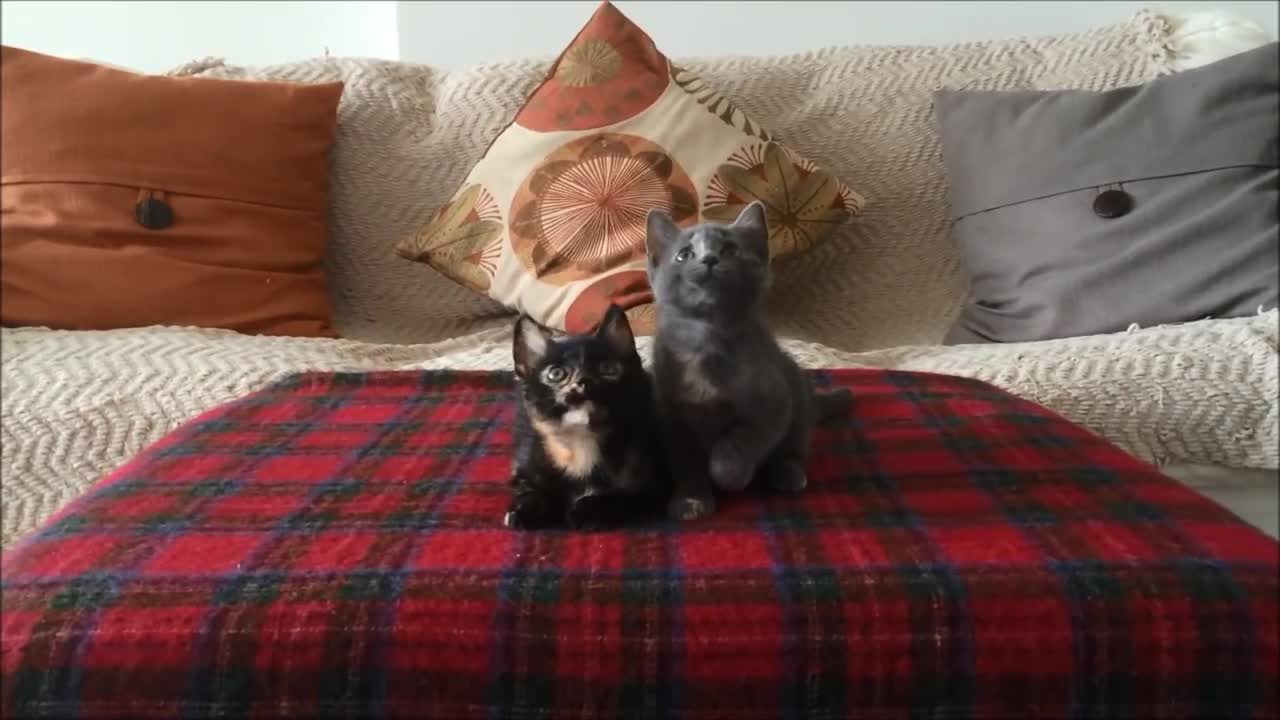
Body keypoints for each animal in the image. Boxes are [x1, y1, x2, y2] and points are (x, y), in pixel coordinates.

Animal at [501, 299, 670, 530]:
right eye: (556, 373)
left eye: (608, 369)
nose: (584, 381)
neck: (581, 445)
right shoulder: (526, 465)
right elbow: (532, 490)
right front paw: (523, 510)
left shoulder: (655, 486)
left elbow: (624, 497)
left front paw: (586, 509)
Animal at [650, 198, 849, 517]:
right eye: (683, 255)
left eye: (730, 250)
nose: (709, 259)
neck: (706, 341)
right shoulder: (671, 417)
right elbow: (686, 462)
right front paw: (691, 501)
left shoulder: (774, 403)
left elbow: (743, 441)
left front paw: (732, 476)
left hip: (796, 395)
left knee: (793, 448)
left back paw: (786, 473)